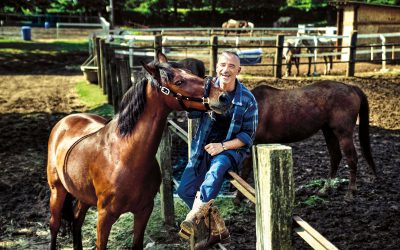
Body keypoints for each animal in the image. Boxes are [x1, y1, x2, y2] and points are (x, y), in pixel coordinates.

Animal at [46, 51, 231, 249]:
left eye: (190, 72)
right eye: (179, 81)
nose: (223, 97)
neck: (124, 158)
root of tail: (66, 121)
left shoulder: (144, 211)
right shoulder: (105, 216)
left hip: (83, 196)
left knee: (76, 220)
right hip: (57, 191)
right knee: (54, 225)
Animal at [239, 81, 376, 200]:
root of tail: (351, 87)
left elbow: (244, 171)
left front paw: (238, 199)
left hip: (343, 134)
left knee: (351, 158)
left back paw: (350, 192)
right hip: (328, 131)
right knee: (335, 157)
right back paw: (325, 189)